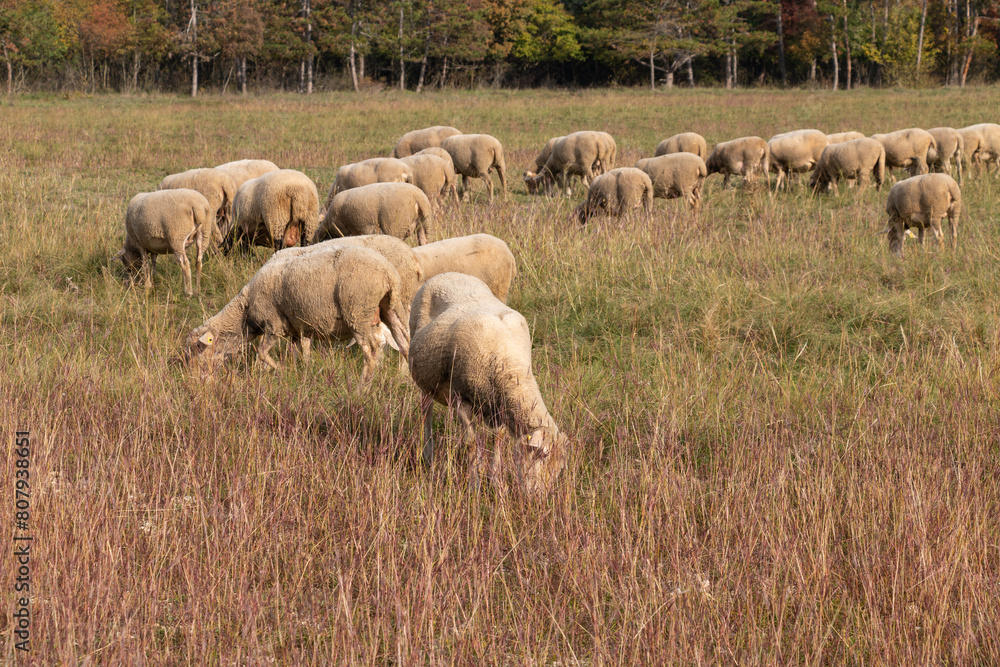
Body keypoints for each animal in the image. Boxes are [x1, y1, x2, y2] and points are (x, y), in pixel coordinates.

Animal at [185, 245, 409, 380]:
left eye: (198, 347)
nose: (195, 379)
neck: (244, 310)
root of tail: (387, 273)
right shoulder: (295, 329)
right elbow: (299, 353)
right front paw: (301, 373)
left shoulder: (273, 324)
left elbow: (262, 353)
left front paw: (281, 371)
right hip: (391, 308)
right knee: (404, 343)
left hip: (358, 312)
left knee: (371, 352)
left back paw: (363, 387)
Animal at [408, 272, 568, 495]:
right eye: (542, 456)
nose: (539, 498)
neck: (508, 363)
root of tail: (449, 273)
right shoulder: (462, 401)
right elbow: (471, 444)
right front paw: (474, 486)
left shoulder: (498, 406)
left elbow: (497, 441)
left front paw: (495, 481)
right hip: (426, 379)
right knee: (426, 413)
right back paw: (428, 455)